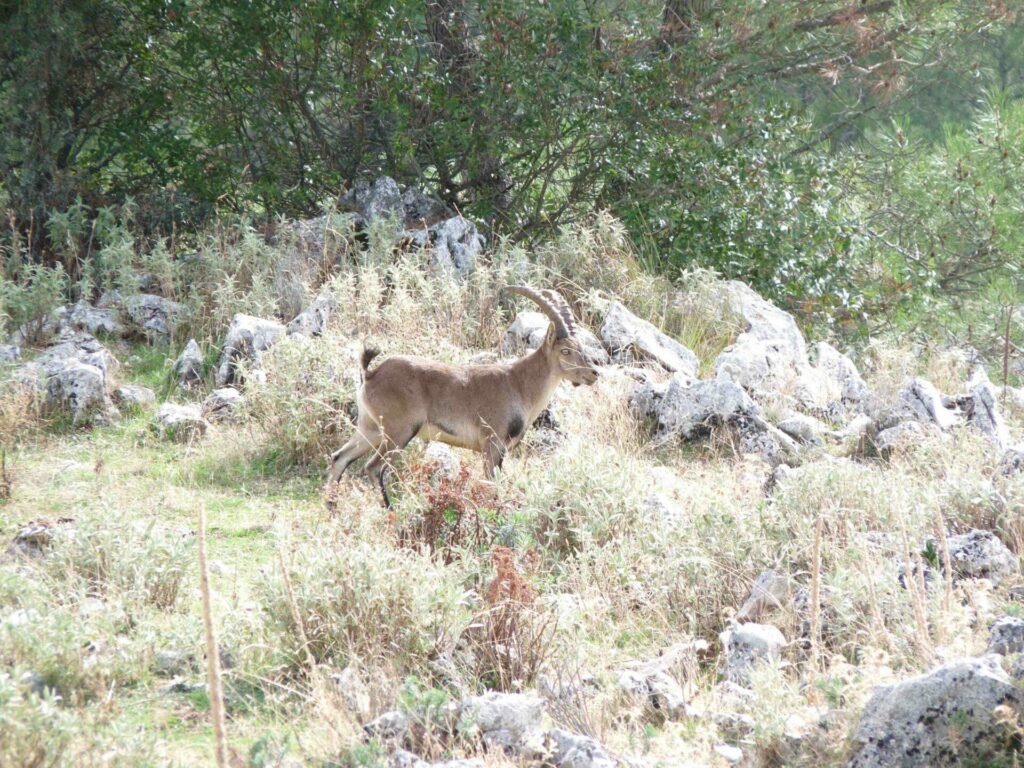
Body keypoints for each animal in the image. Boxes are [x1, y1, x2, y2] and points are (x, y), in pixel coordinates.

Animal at [327, 286, 598, 507]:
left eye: (581, 347)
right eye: (565, 350)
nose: (594, 373)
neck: (519, 384)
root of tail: (371, 374)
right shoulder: (492, 443)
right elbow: (493, 485)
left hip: (370, 429)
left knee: (339, 458)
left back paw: (331, 510)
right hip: (398, 432)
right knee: (373, 468)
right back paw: (390, 511)